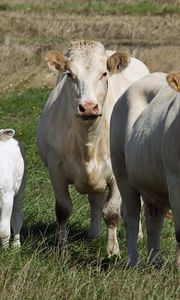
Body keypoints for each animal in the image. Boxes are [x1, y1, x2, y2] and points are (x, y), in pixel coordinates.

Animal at [37, 39, 149, 255]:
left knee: (134, 204)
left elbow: (112, 212)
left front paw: (113, 251)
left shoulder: (117, 173)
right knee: (95, 201)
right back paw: (93, 234)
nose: (88, 106)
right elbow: (63, 210)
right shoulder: (56, 169)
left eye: (104, 73)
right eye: (69, 74)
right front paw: (61, 249)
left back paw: (138, 236)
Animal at [109, 71, 180, 268]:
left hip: (153, 182)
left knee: (154, 219)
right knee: (131, 217)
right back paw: (133, 262)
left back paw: (155, 260)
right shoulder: (175, 182)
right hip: (122, 172)